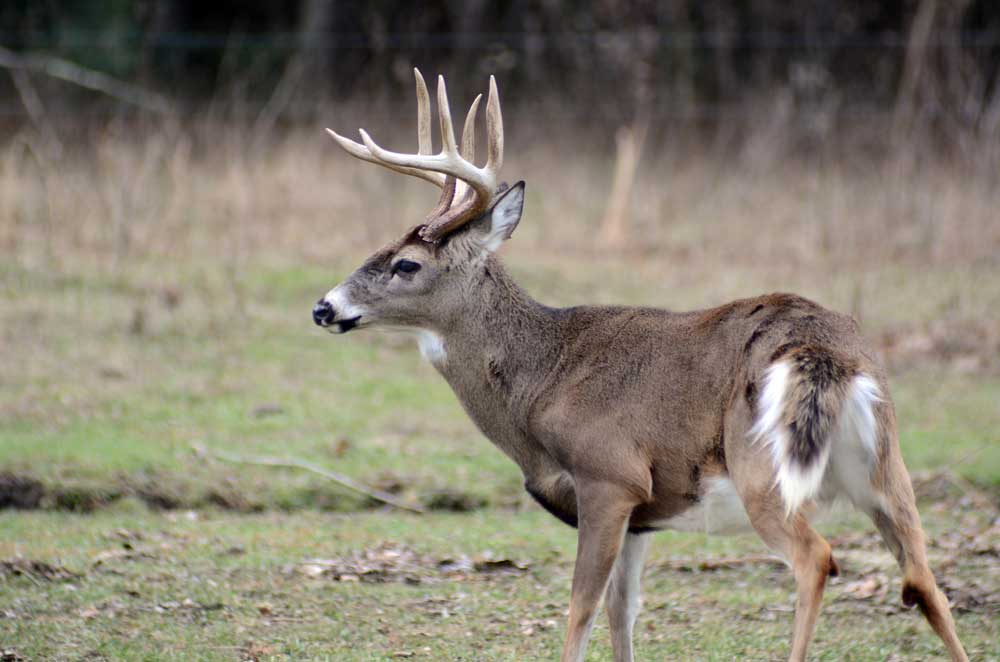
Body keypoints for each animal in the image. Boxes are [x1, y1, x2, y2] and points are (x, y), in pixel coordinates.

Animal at [314, 71, 968, 662]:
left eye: (406, 264)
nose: (324, 307)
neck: (542, 378)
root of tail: (824, 352)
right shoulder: (641, 518)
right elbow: (621, 613)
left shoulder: (610, 476)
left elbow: (581, 607)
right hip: (885, 467)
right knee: (924, 580)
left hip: (763, 469)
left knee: (817, 559)